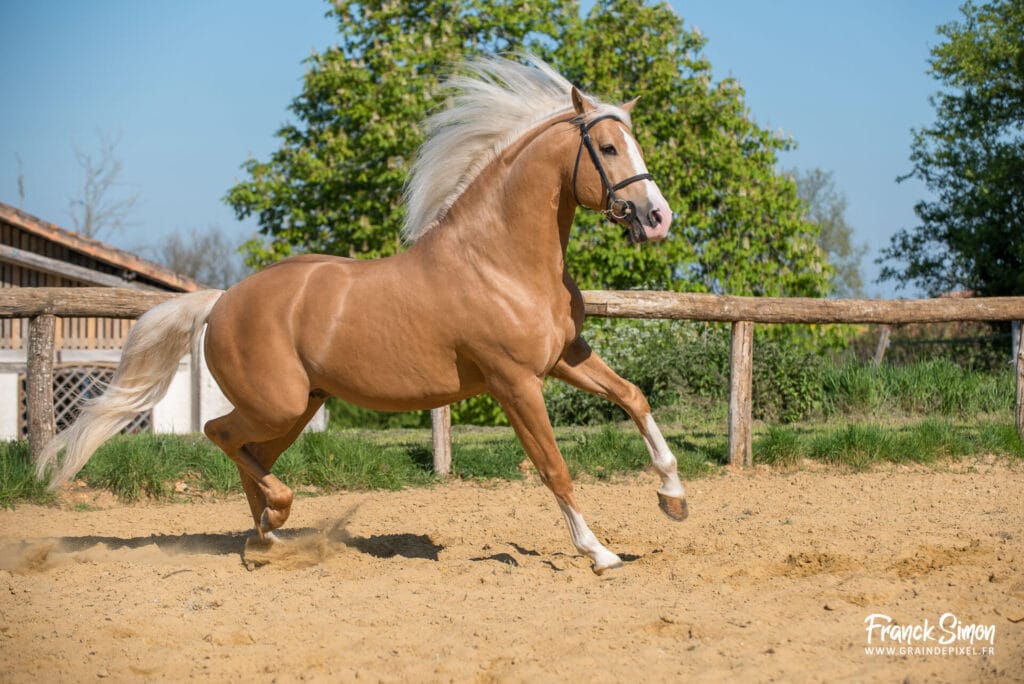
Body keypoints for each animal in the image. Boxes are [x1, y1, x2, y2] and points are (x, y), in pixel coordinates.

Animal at [39, 54, 686, 574]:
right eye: (608, 149)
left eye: (636, 145)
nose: (658, 218)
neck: (499, 260)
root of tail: (220, 300)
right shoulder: (514, 381)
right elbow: (553, 466)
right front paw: (600, 553)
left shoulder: (563, 357)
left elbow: (633, 397)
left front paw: (674, 497)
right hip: (276, 404)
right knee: (218, 434)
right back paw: (276, 519)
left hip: (299, 406)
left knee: (251, 455)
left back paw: (266, 540)